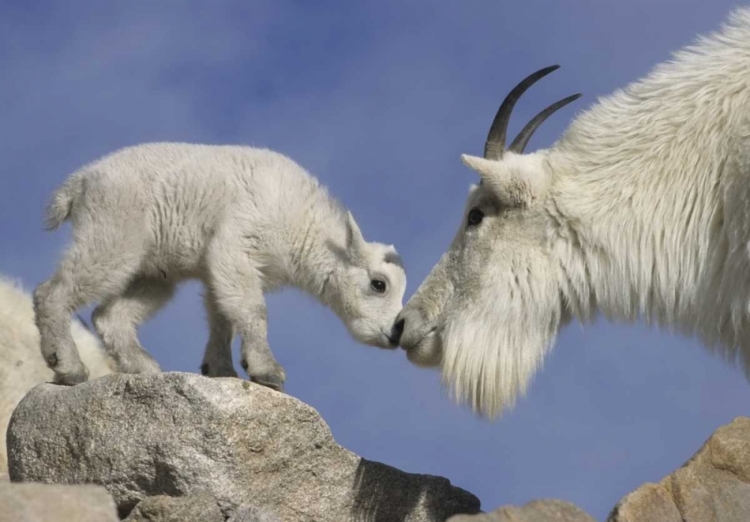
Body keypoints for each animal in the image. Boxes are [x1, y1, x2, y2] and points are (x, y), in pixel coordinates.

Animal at [34, 141, 406, 386]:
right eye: (379, 284)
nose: (395, 334)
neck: (306, 227)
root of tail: (80, 182)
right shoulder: (239, 243)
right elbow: (252, 308)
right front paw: (267, 370)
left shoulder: (218, 264)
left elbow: (222, 314)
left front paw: (220, 368)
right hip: (114, 229)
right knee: (56, 290)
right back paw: (68, 365)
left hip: (155, 269)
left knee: (110, 314)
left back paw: (144, 366)